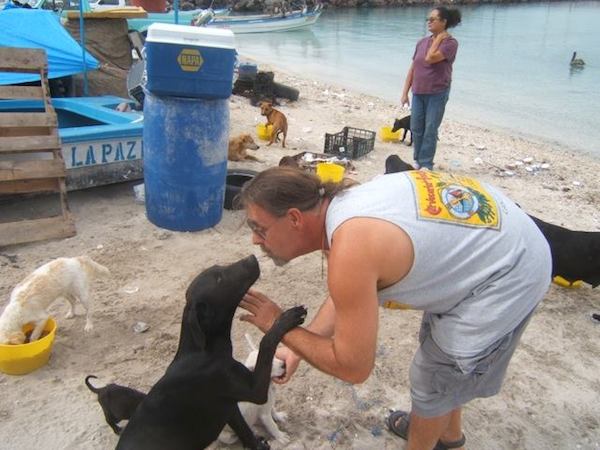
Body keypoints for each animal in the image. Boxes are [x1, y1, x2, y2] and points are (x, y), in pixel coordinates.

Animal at [115, 256, 308, 450]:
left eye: (218, 269)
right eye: (219, 279)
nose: (252, 257)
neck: (202, 351)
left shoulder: (230, 408)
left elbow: (246, 432)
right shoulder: (255, 391)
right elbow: (266, 341)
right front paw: (286, 318)